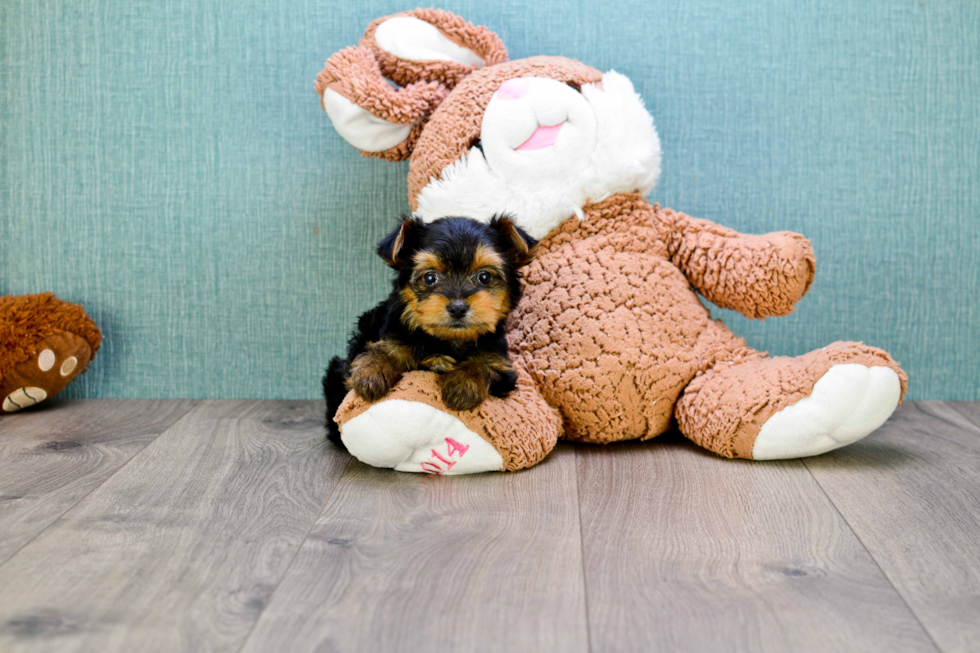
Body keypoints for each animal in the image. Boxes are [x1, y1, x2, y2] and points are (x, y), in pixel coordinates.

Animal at [322, 214, 536, 444]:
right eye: (430, 277)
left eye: (484, 277)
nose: (458, 307)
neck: (447, 340)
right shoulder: (393, 336)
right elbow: (387, 349)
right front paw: (372, 372)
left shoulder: (502, 367)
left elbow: (484, 364)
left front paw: (463, 385)